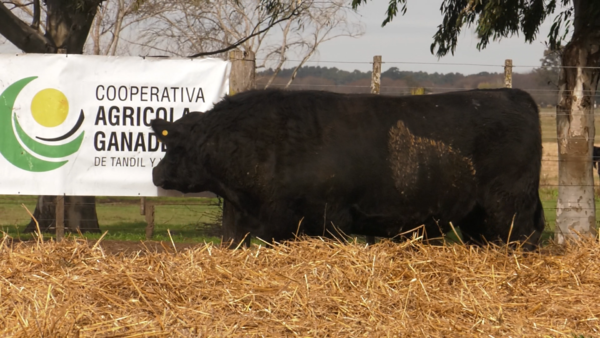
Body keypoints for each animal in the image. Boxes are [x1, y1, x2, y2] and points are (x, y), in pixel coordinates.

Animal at [150, 89, 544, 248]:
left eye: (176, 144)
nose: (156, 174)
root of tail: (512, 94)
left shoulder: (324, 219)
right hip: (478, 219)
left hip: (510, 211)